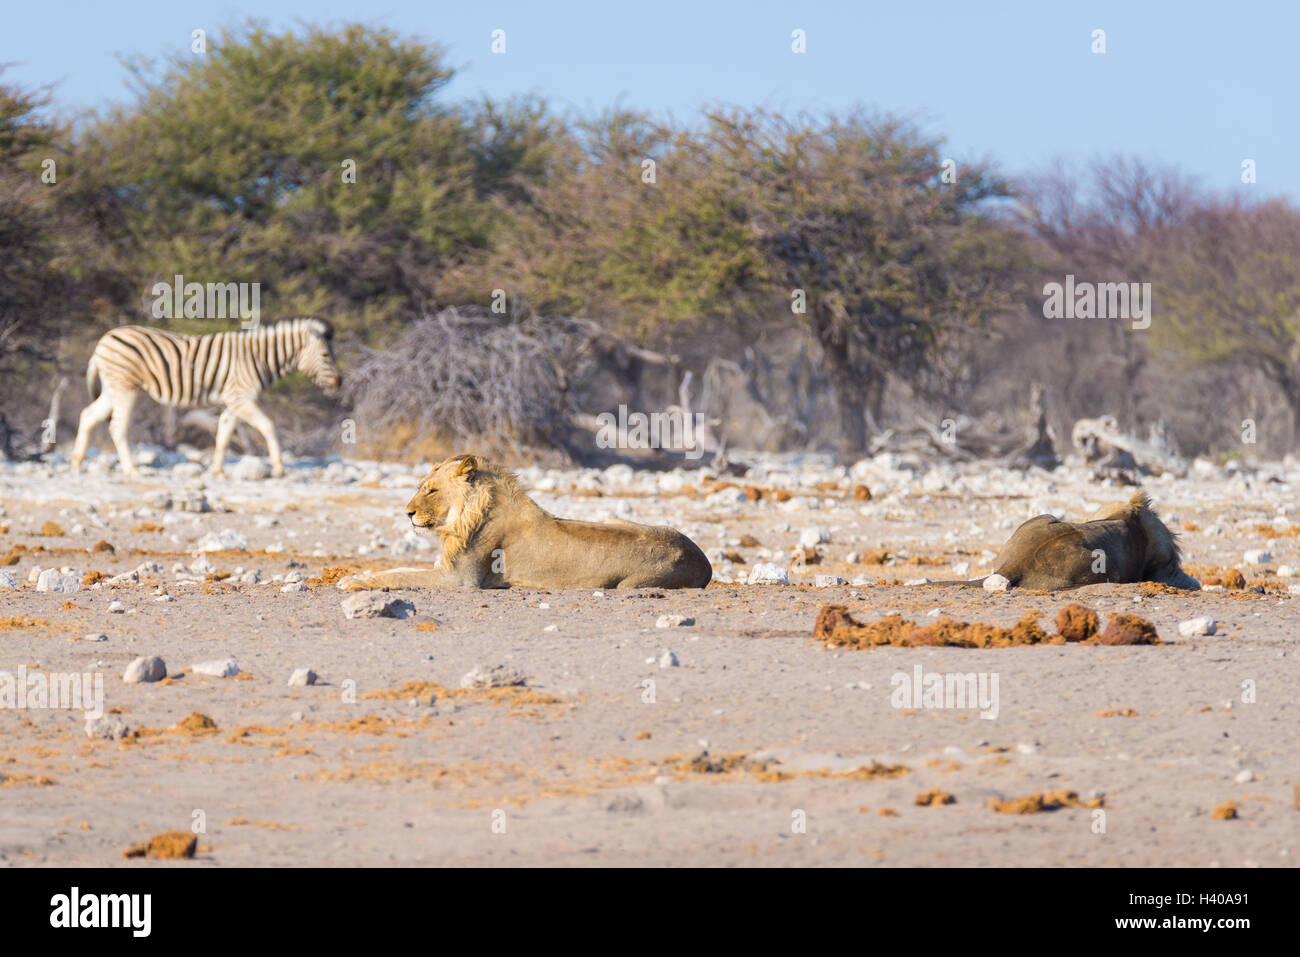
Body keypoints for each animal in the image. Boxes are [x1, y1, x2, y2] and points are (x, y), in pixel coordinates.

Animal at [71, 317, 340, 478]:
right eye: (326, 356)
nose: (339, 383)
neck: (258, 358)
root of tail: (104, 339)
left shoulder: (234, 401)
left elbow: (224, 432)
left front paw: (218, 471)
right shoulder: (241, 398)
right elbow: (268, 425)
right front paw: (279, 467)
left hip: (112, 388)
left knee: (87, 415)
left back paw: (76, 462)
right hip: (125, 387)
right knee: (117, 426)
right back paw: (132, 470)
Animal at [335, 455, 712, 590]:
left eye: (432, 490)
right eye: (419, 486)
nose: (407, 512)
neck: (462, 517)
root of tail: (704, 561)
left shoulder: (460, 579)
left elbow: (398, 575)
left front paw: (353, 581)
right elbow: (397, 569)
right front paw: (357, 575)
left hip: (630, 584)